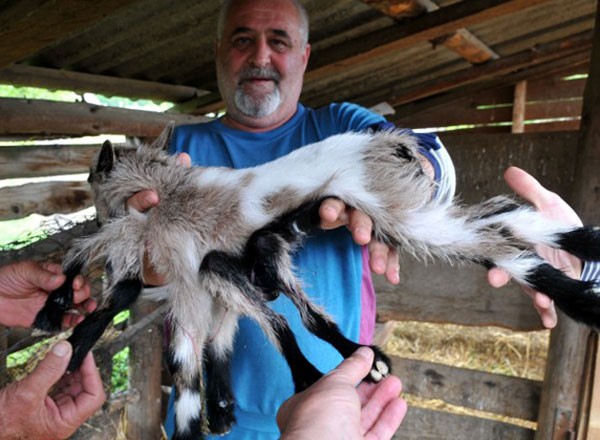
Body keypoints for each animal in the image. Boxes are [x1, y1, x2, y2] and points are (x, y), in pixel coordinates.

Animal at [35, 124, 600, 440]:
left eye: (91, 178)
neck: (165, 188)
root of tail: (388, 143)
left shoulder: (184, 263)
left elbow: (99, 270)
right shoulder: (236, 269)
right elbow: (274, 324)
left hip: (399, 214)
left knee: (499, 240)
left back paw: (581, 295)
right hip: (405, 214)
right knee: (503, 222)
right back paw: (583, 253)